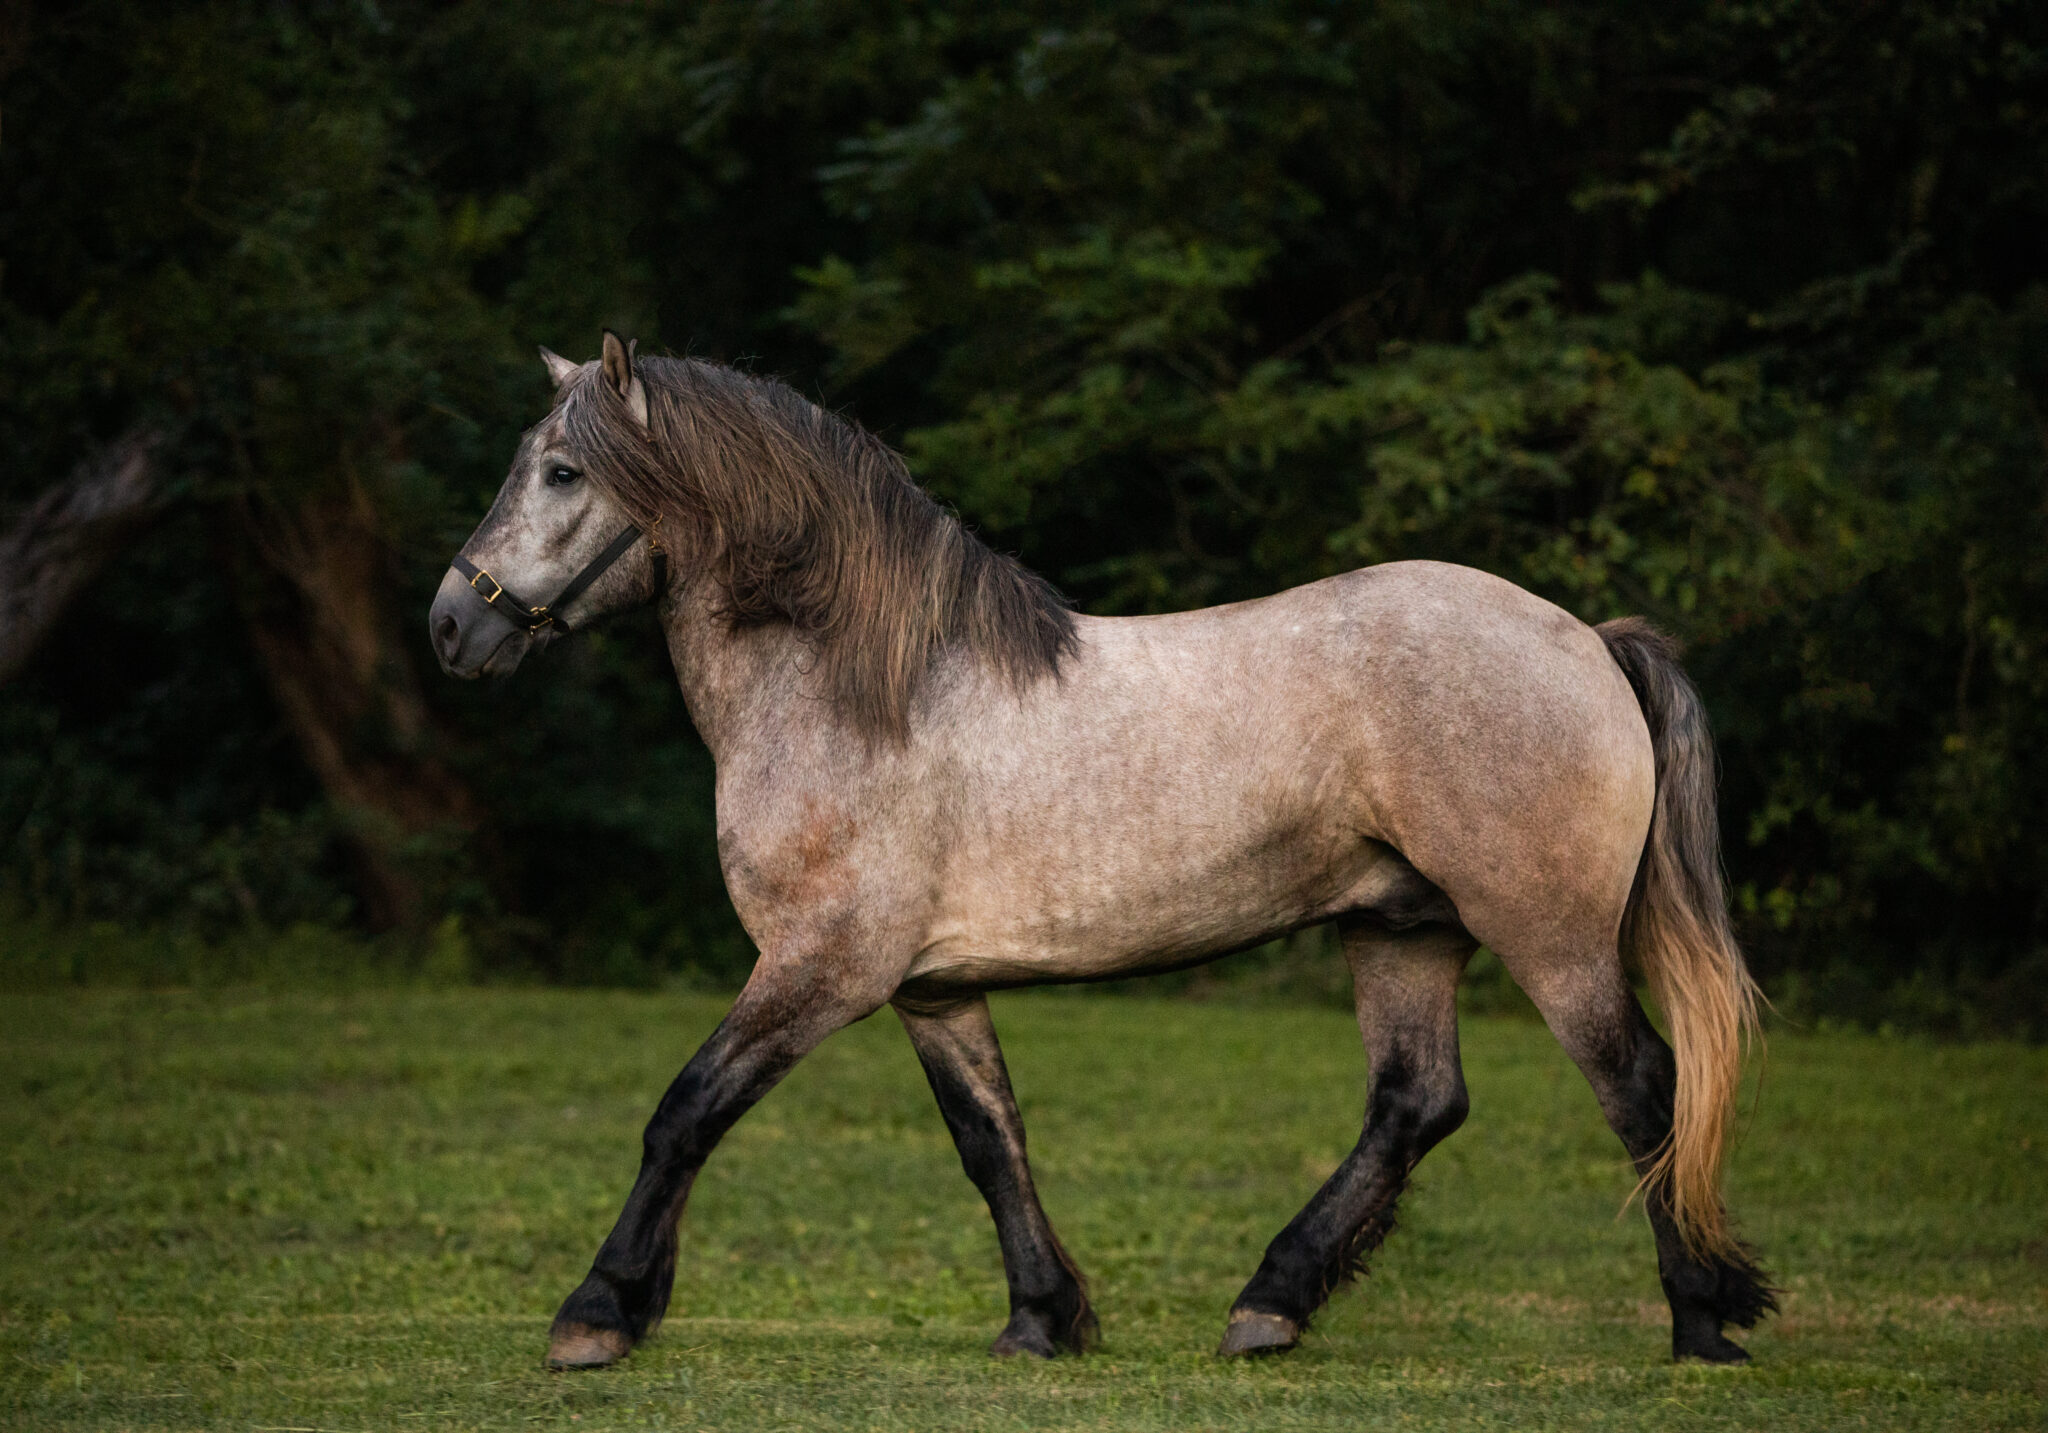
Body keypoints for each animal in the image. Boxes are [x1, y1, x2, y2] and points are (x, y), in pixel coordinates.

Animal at [428, 333, 1777, 1371]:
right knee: (1415, 1100)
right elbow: (990, 1139)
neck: (862, 689)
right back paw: (1269, 1302)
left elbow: (685, 1110)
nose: (450, 625)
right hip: (1402, 926)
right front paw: (1042, 1316)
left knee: (1639, 1088)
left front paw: (598, 1312)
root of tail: (1586, 639)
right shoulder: (929, 986)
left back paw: (1699, 1322)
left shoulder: (821, 968)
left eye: (560, 469)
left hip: (1546, 935)